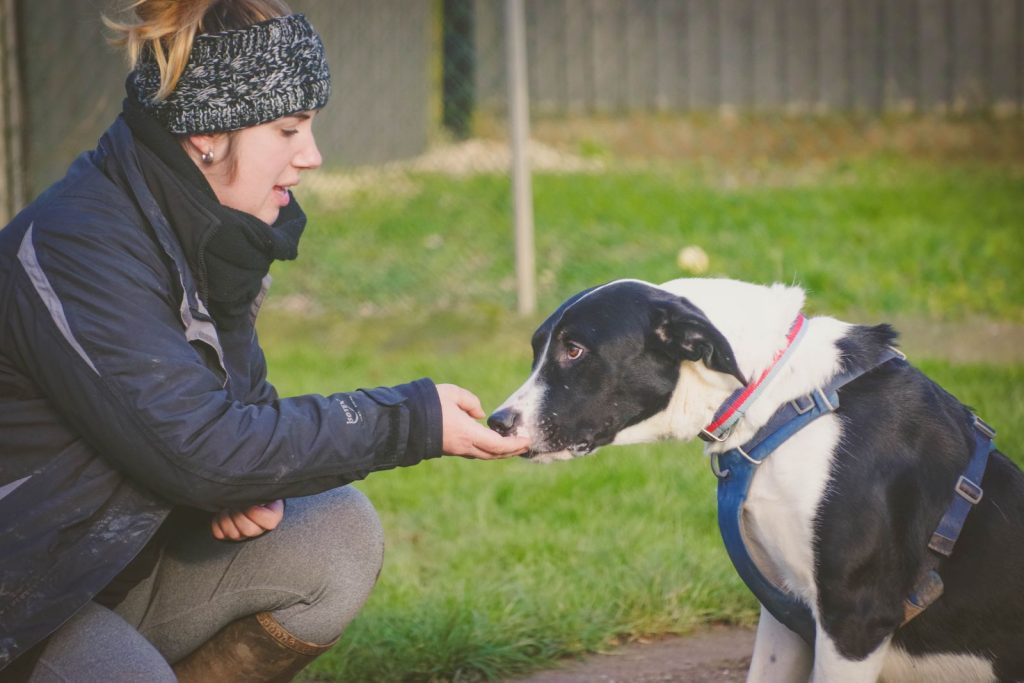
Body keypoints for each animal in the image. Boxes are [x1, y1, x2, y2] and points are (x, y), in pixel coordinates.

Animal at [487, 278, 1024, 683]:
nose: (497, 421)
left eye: (575, 350)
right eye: (536, 350)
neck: (778, 396)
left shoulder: (854, 620)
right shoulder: (786, 611)